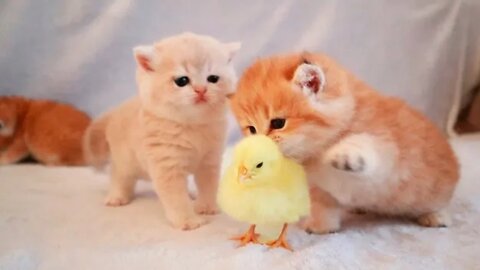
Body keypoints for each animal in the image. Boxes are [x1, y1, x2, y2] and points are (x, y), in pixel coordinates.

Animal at [83, 31, 240, 230]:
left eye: (213, 78)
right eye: (182, 81)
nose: (201, 90)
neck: (191, 126)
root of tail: (116, 111)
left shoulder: (209, 161)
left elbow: (208, 186)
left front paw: (206, 207)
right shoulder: (167, 165)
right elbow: (176, 198)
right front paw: (188, 220)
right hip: (125, 160)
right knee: (119, 176)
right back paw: (117, 197)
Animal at [231, 53, 460, 234]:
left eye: (278, 123)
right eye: (251, 129)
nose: (257, 149)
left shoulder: (388, 153)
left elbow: (366, 144)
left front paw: (343, 153)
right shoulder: (318, 188)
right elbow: (323, 206)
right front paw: (321, 226)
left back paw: (436, 217)